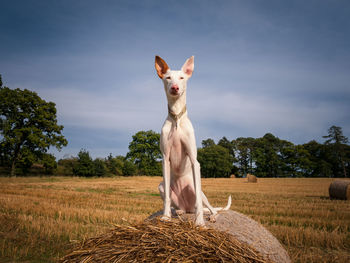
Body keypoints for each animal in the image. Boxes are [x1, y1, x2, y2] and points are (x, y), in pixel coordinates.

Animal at [155, 56, 231, 227]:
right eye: (167, 78)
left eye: (182, 78)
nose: (175, 88)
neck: (176, 118)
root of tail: (187, 206)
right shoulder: (165, 160)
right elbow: (167, 200)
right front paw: (166, 216)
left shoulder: (194, 160)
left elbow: (200, 206)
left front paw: (199, 222)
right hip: (162, 186)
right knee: (178, 205)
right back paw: (178, 212)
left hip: (199, 192)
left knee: (209, 208)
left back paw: (211, 217)